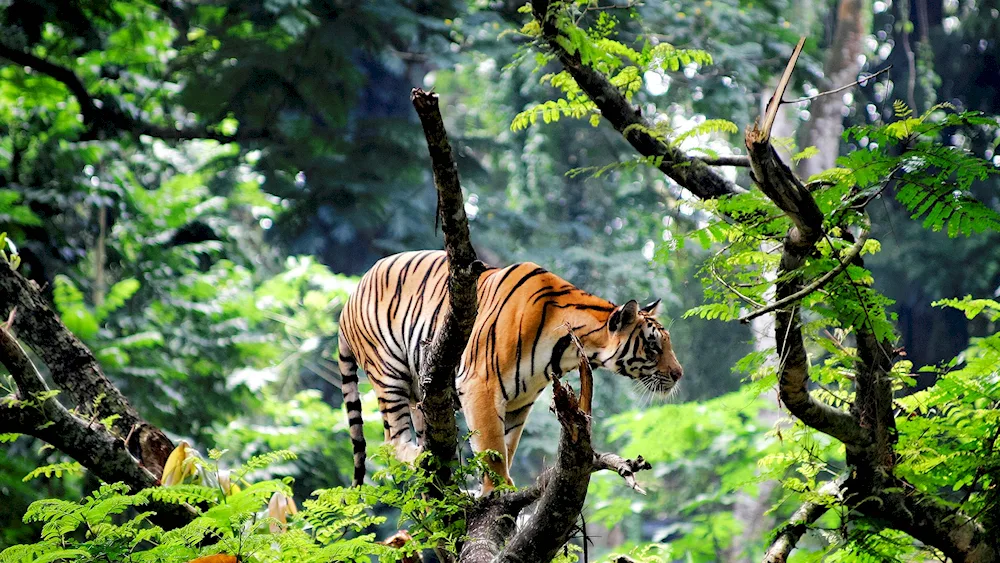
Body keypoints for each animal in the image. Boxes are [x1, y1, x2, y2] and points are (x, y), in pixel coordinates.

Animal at [336, 251, 680, 494]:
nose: (679, 374)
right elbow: (492, 446)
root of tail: (349, 297)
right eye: (653, 345)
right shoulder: (481, 384)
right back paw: (422, 459)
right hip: (388, 372)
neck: (567, 349)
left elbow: (508, 444)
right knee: (391, 442)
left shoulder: (520, 400)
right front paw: (497, 489)